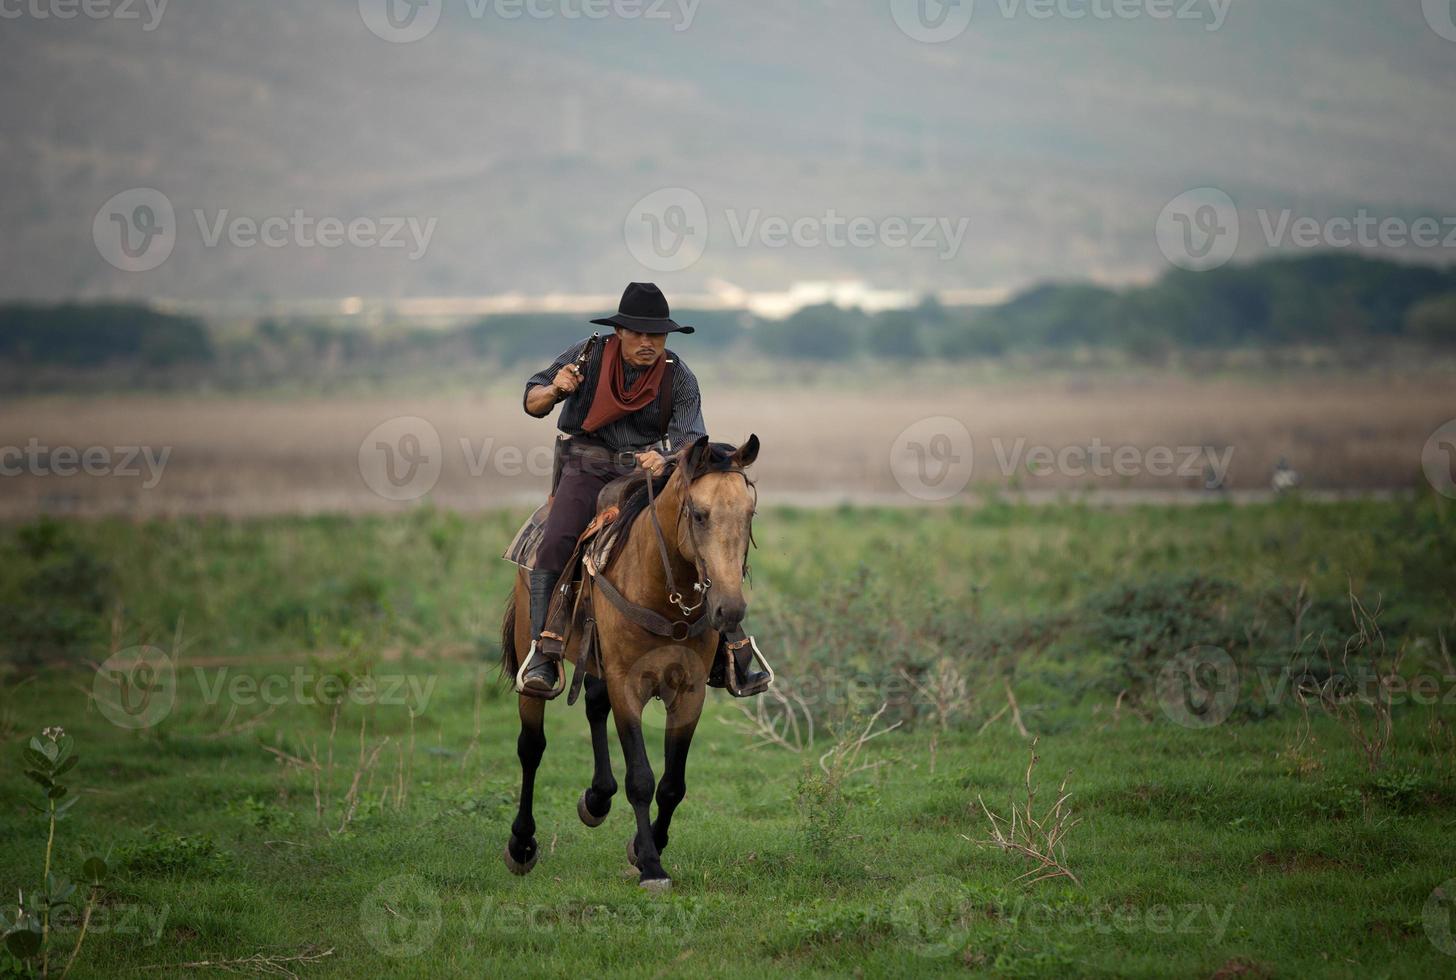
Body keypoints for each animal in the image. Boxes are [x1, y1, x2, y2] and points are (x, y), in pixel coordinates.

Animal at [500, 433, 762, 885]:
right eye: (698, 514)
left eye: (749, 513)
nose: (728, 610)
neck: (663, 594)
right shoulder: (628, 687)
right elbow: (641, 777)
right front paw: (652, 868)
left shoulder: (690, 693)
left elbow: (673, 784)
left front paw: (645, 848)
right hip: (532, 662)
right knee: (531, 746)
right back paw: (522, 844)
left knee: (592, 705)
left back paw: (597, 798)